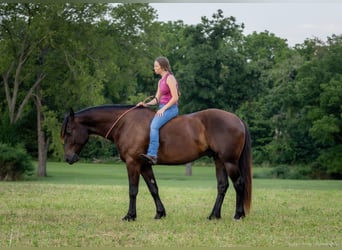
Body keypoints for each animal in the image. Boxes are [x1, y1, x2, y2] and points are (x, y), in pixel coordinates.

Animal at [61, 104, 252, 222]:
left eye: (69, 131)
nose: (68, 158)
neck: (126, 124)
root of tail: (237, 119)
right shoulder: (145, 165)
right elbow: (153, 188)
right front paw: (160, 213)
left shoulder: (132, 163)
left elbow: (133, 190)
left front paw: (130, 216)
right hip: (219, 160)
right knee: (222, 186)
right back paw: (214, 215)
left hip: (229, 162)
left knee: (239, 184)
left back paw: (238, 215)